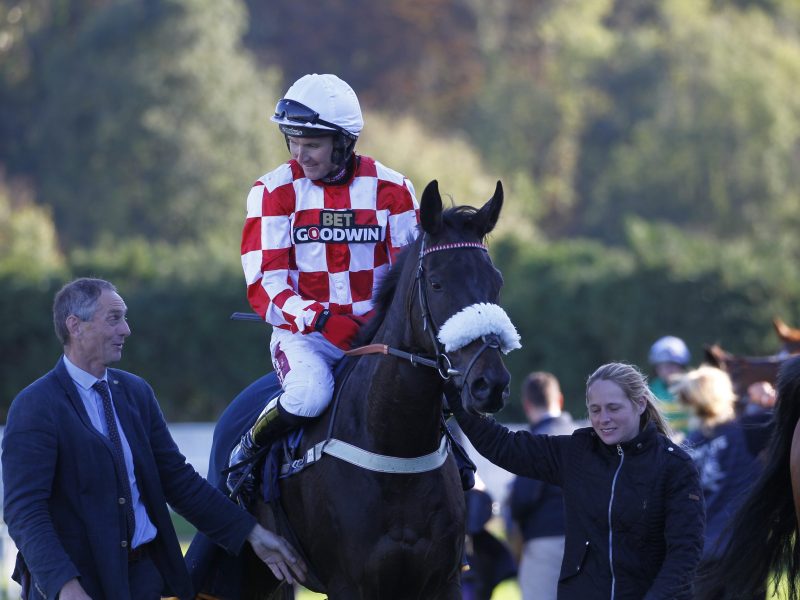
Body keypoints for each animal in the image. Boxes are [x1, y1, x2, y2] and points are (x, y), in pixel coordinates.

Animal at [191, 180, 516, 600]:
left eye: (496, 282)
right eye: (436, 282)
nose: (489, 384)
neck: (395, 446)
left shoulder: (443, 580)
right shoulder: (350, 583)